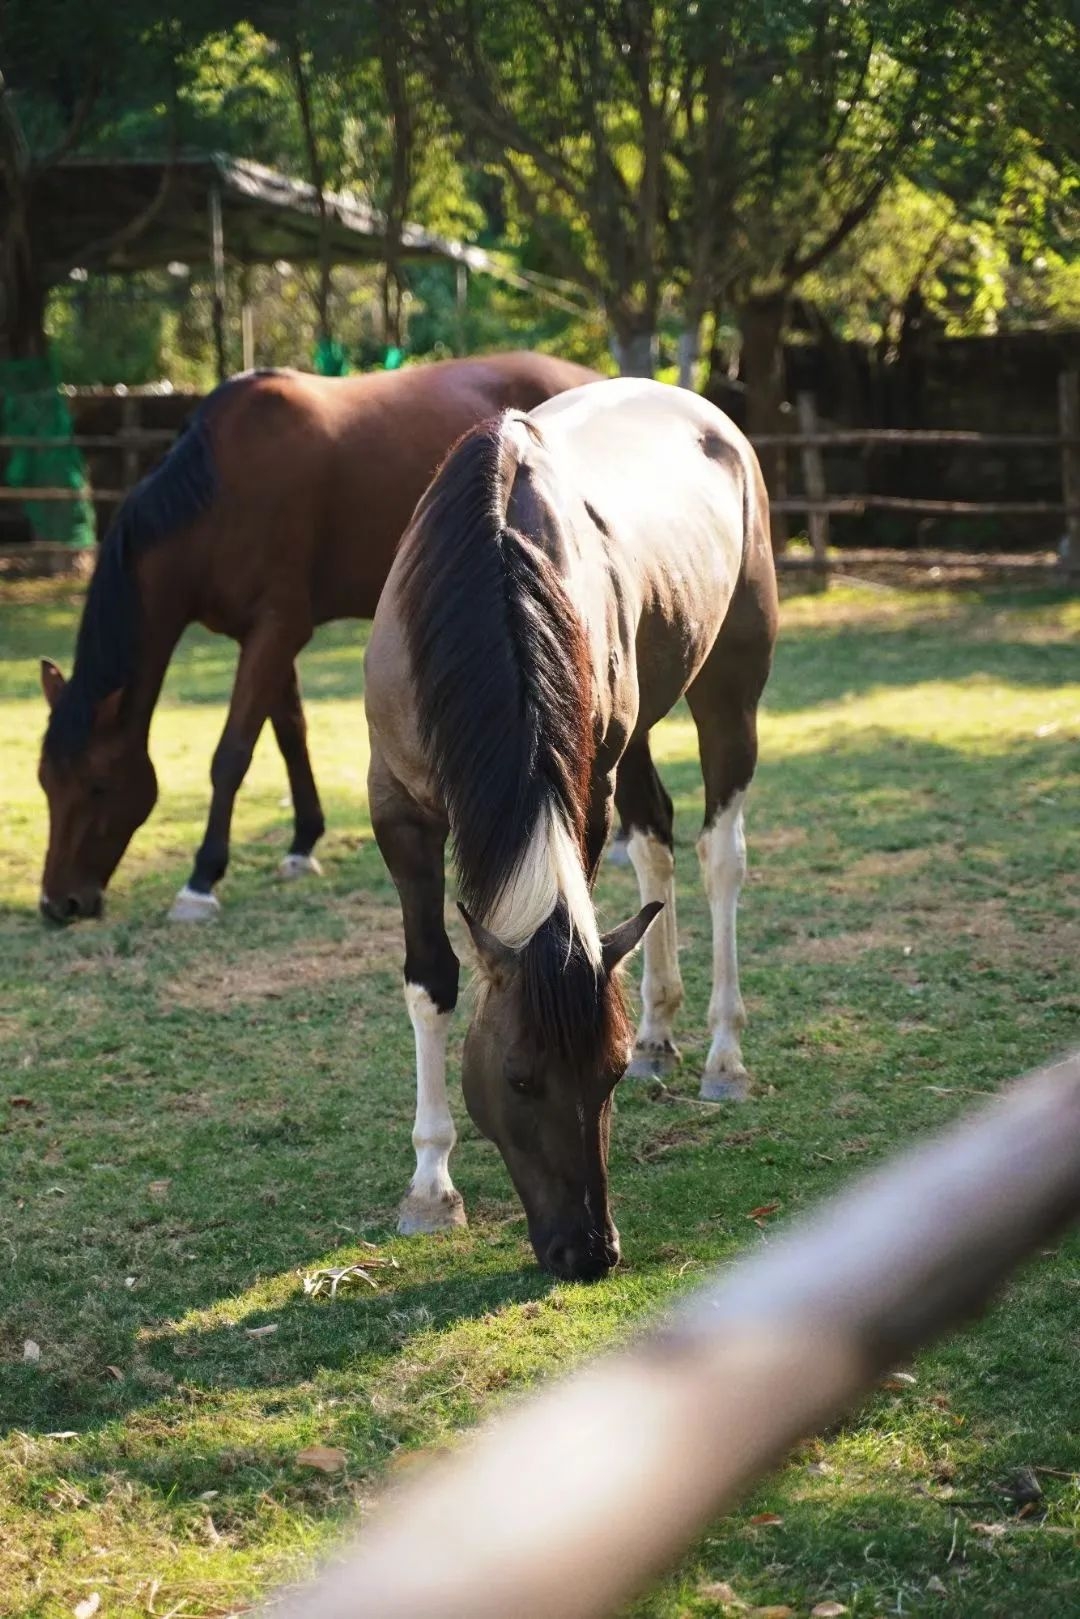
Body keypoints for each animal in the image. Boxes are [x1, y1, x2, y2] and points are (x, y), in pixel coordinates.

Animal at [35, 349, 599, 926]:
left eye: (98, 786)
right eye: (45, 783)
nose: (59, 904)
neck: (217, 493)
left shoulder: (277, 627)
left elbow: (232, 754)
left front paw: (201, 880)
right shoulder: (266, 634)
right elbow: (290, 735)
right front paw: (302, 844)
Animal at [367, 375, 780, 1275]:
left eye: (607, 1075)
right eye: (520, 1077)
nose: (589, 1250)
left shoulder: (584, 797)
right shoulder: (398, 808)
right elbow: (430, 979)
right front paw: (430, 1185)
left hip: (728, 688)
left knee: (718, 854)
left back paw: (723, 1054)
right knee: (656, 841)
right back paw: (664, 1027)